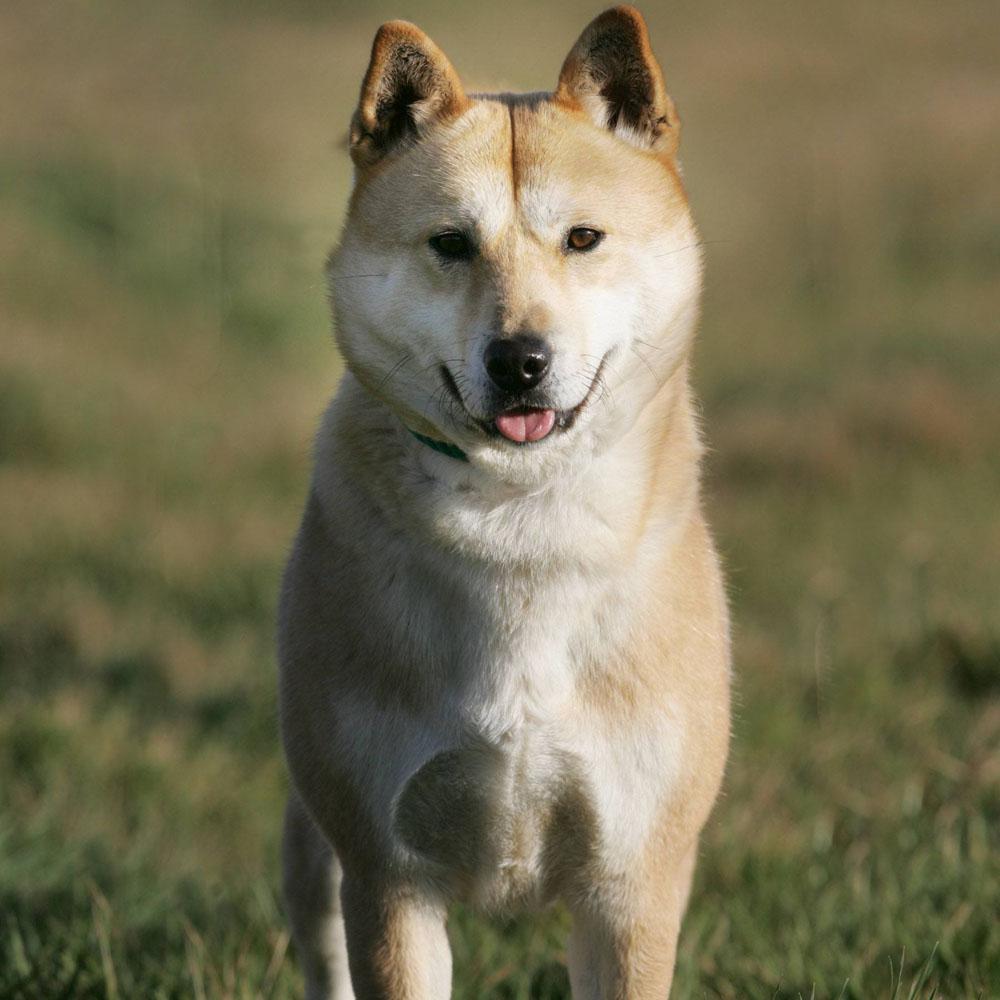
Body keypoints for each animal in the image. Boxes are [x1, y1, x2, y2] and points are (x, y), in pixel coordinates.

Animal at [278, 5, 732, 992]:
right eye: (451, 243)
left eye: (583, 239)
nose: (520, 359)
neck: (521, 523)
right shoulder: (388, 874)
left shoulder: (634, 882)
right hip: (315, 844)